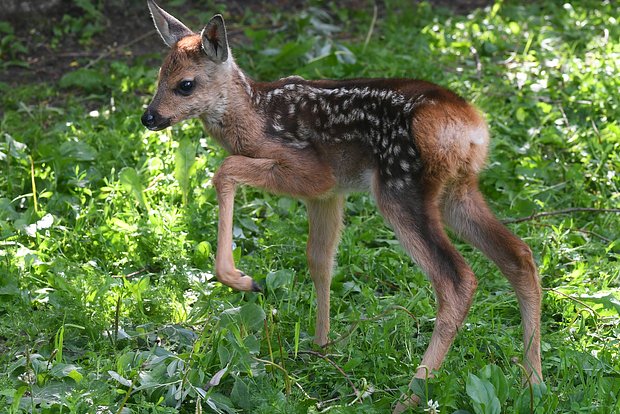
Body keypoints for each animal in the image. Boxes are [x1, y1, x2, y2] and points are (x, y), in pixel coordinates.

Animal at [142, 1, 544, 410]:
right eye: (160, 75)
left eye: (186, 84)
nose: (149, 117)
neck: (257, 119)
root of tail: (472, 128)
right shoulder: (328, 194)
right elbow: (320, 261)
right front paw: (321, 348)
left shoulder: (311, 172)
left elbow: (224, 171)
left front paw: (240, 279)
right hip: (456, 192)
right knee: (520, 255)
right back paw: (533, 383)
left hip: (401, 188)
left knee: (458, 280)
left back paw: (409, 397)